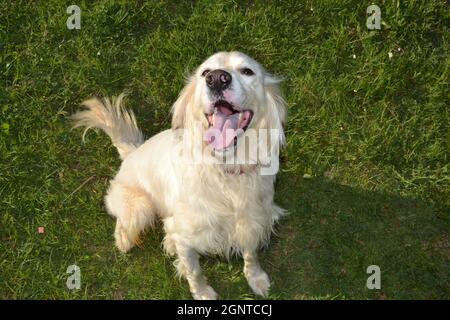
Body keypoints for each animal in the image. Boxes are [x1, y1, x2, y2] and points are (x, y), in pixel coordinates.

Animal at [72, 51, 286, 298]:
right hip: (141, 207)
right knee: (122, 224)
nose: (217, 79)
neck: (225, 173)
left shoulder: (253, 221)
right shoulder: (184, 237)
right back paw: (125, 241)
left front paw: (256, 278)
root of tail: (131, 152)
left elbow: (251, 255)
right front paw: (202, 293)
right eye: (205, 72)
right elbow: (195, 272)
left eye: (247, 71)